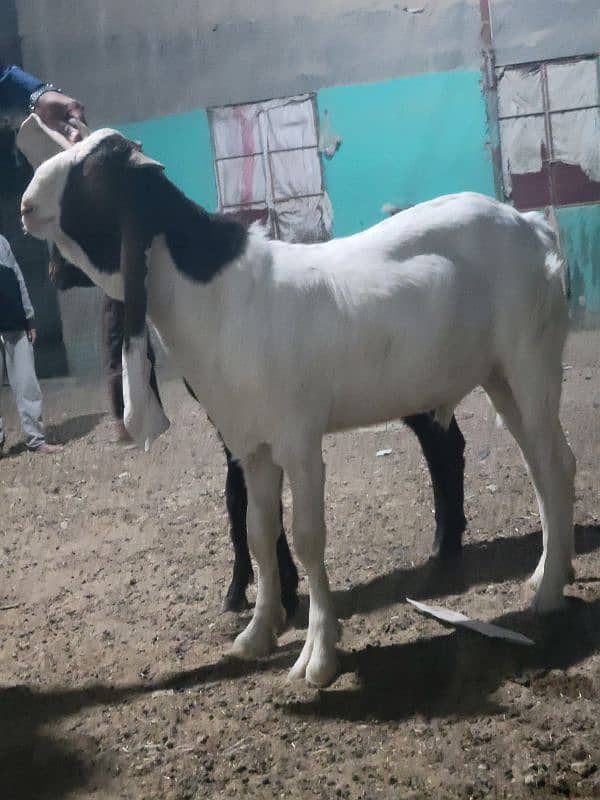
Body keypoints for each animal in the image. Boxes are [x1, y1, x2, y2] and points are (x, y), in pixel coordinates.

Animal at [22, 131, 576, 688]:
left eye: (93, 175)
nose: (25, 203)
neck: (222, 295)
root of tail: (532, 227)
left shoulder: (300, 439)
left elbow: (308, 539)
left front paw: (319, 655)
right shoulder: (252, 447)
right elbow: (259, 533)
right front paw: (257, 633)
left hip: (531, 359)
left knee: (554, 465)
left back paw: (549, 591)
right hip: (500, 377)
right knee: (542, 465)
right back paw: (544, 572)